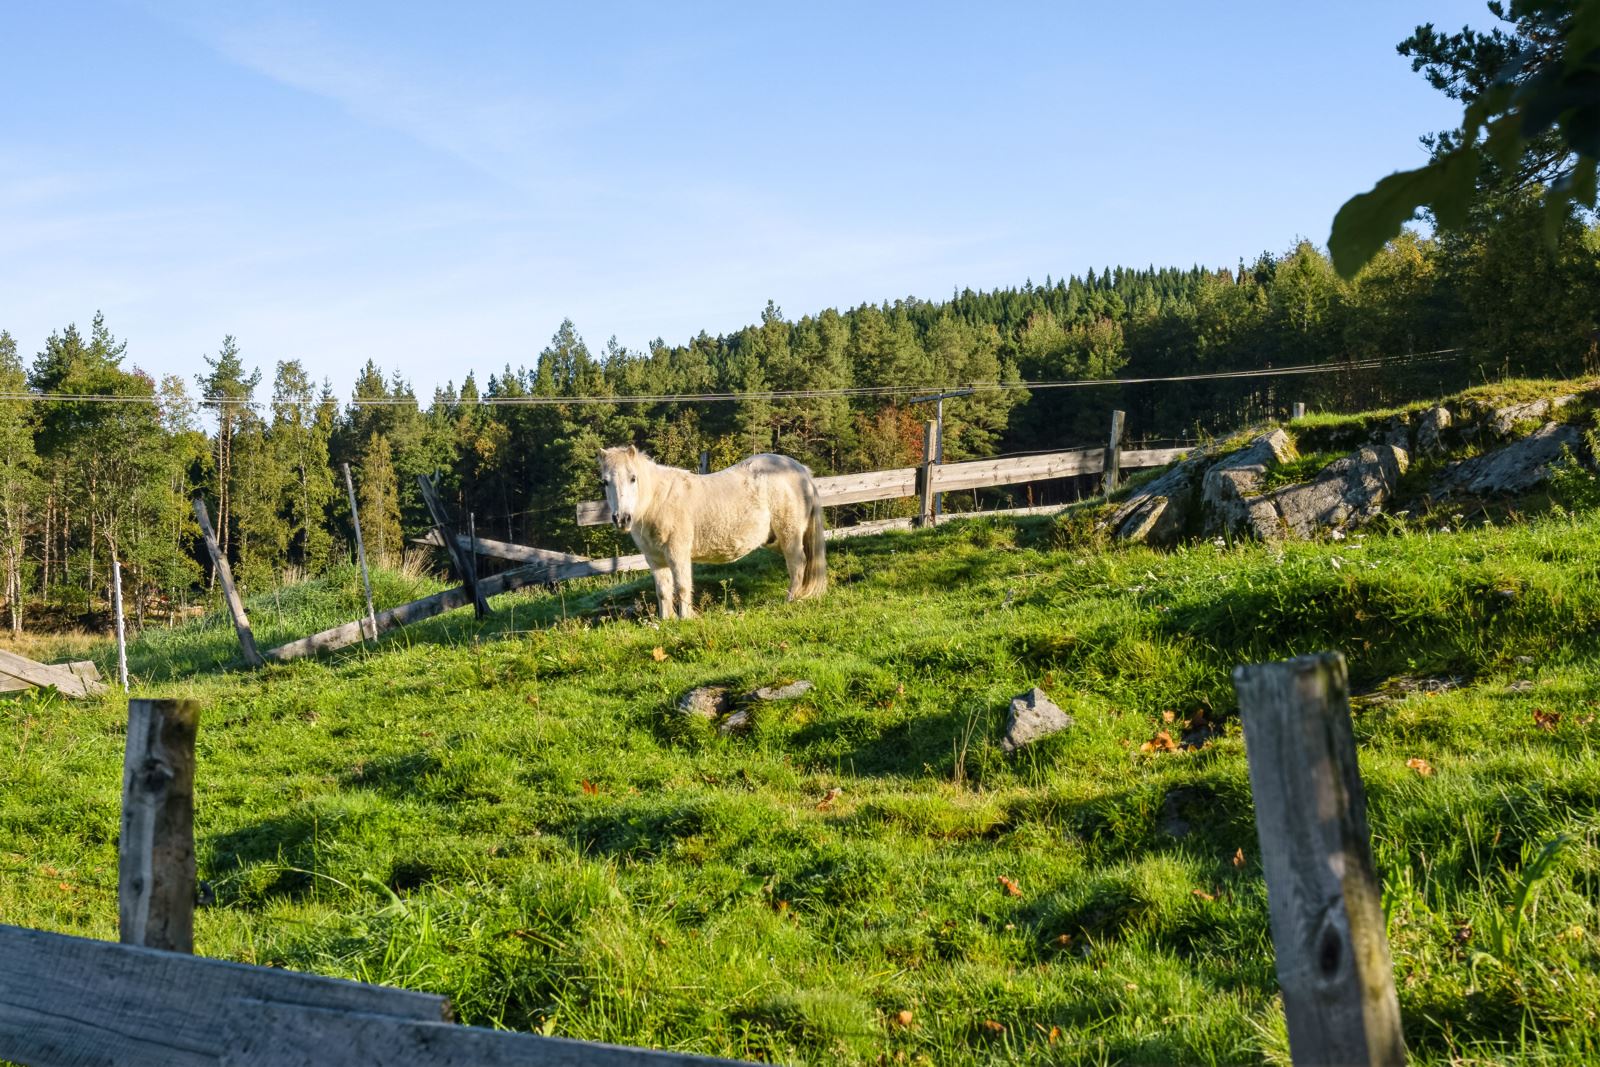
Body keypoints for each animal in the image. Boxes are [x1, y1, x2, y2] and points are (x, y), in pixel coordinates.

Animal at [595, 447, 832, 620]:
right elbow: (663, 590)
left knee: (797, 564)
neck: (659, 501)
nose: (622, 519)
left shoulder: (677, 553)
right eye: (605, 482)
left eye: (633, 478)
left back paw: (791, 599)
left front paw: (685, 619)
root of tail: (800, 469)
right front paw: (665, 621)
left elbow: (682, 586)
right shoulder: (655, 559)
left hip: (790, 535)